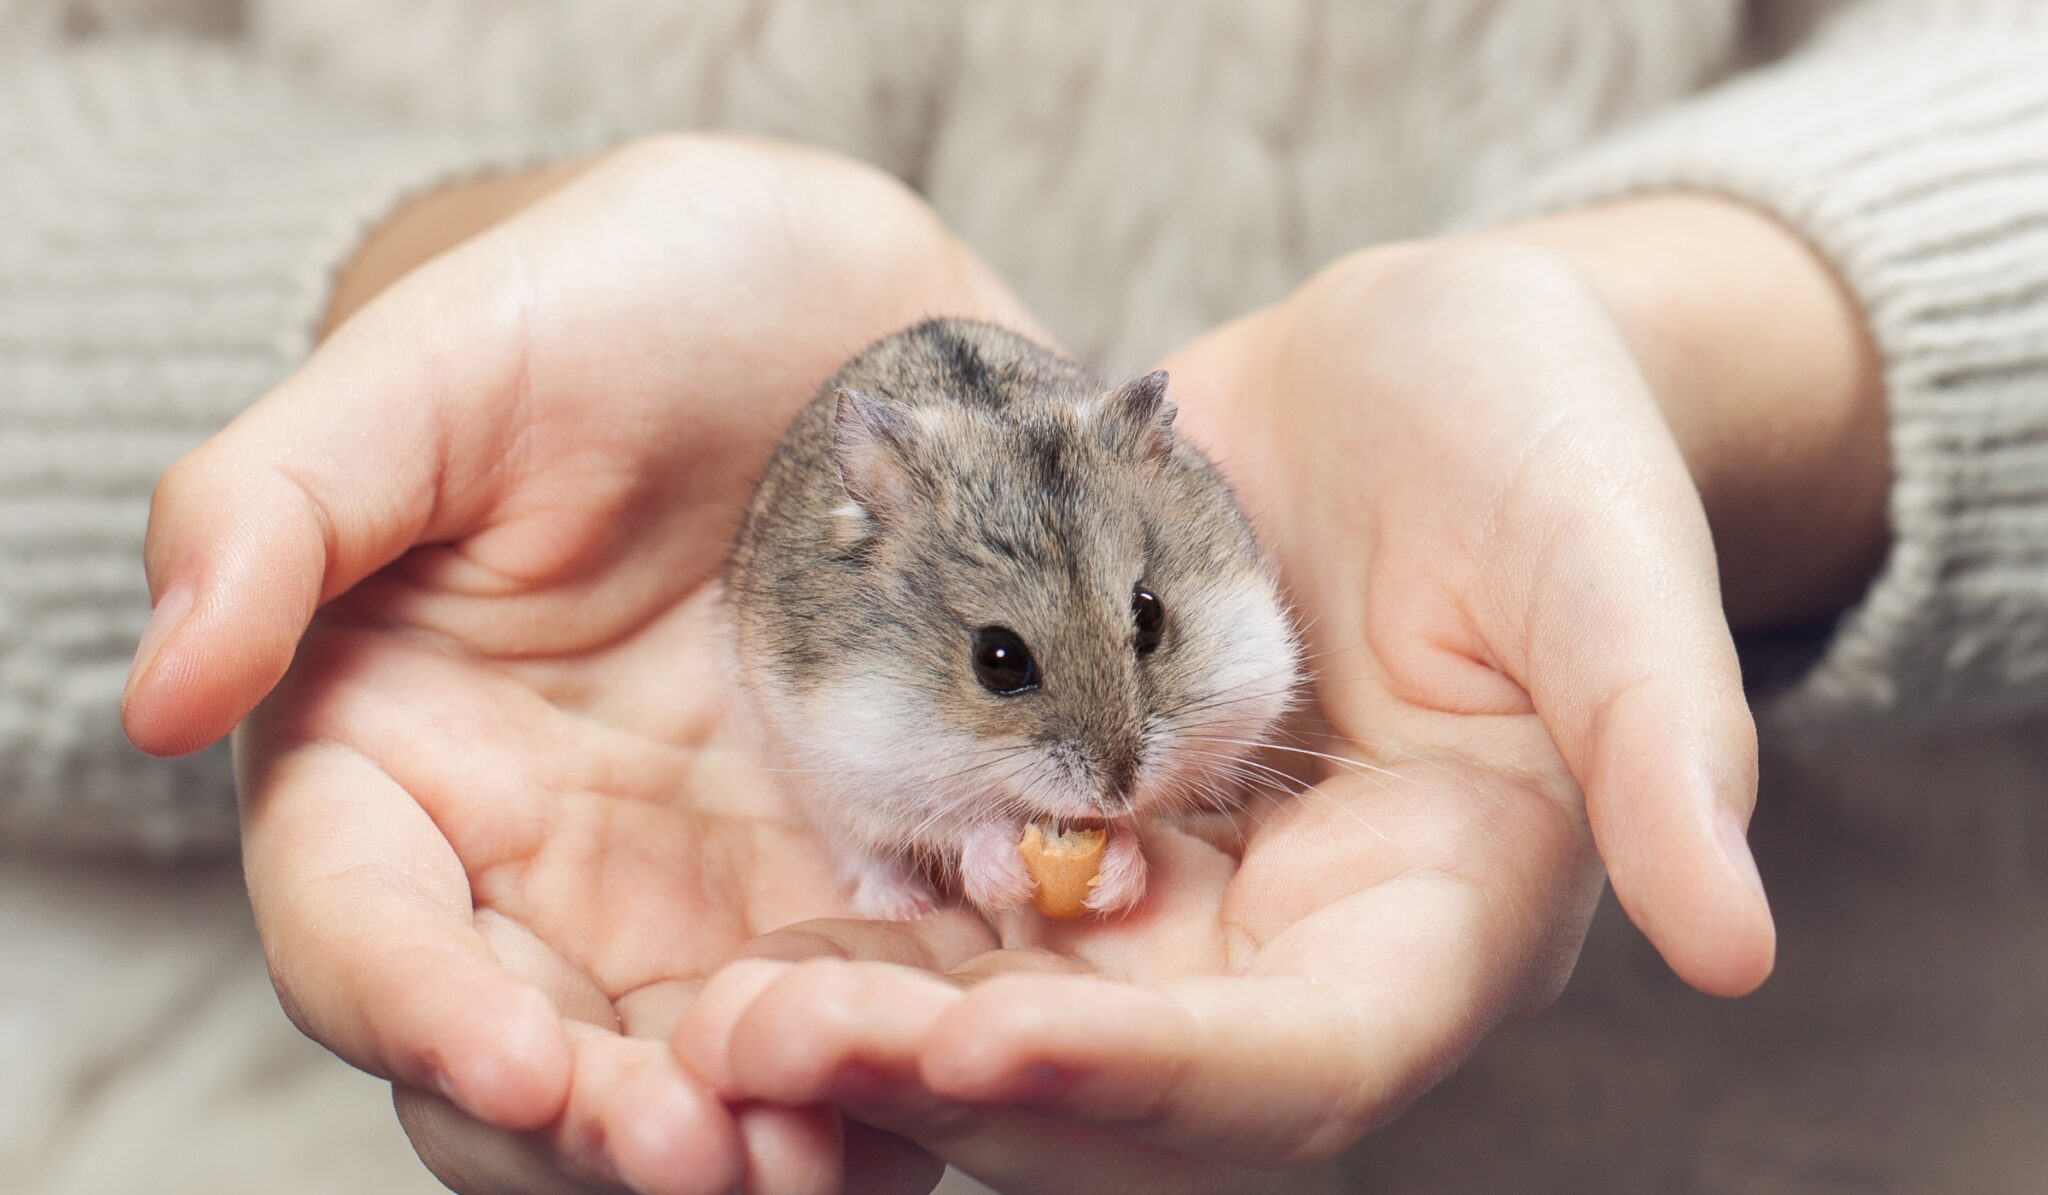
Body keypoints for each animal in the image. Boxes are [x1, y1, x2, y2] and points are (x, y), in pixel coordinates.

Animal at [725, 319, 1300, 920]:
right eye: (998, 660)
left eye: (1150, 613)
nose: (1117, 794)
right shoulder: (853, 765)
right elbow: (956, 827)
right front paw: (998, 870)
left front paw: (1117, 871)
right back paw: (905, 905)